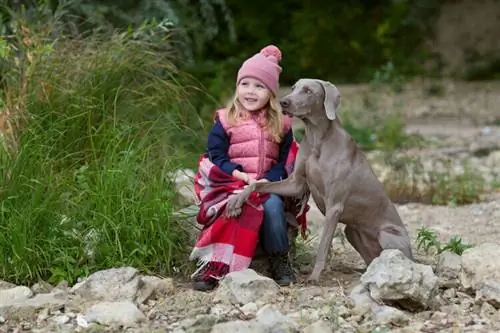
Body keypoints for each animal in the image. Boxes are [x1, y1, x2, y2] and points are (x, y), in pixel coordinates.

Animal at [227, 78, 414, 282]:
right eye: (293, 88)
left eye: (308, 91)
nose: (284, 102)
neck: (317, 137)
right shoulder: (296, 183)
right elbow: (258, 183)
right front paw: (237, 200)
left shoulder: (334, 207)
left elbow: (323, 245)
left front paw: (315, 276)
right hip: (352, 231)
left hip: (388, 235)